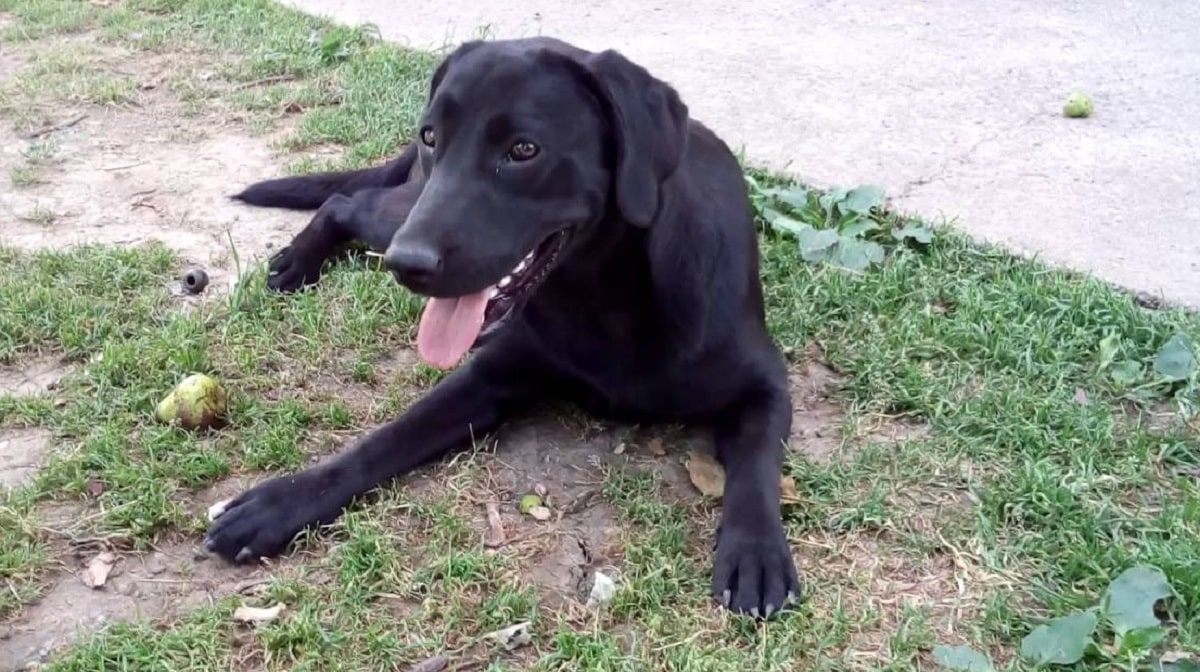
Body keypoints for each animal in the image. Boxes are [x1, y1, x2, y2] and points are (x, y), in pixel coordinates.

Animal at [208, 34, 796, 619]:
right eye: (433, 136)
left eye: (523, 150)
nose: (407, 265)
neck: (604, 297)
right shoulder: (490, 373)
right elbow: (389, 436)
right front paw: (284, 500)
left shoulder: (765, 384)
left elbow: (757, 466)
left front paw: (756, 550)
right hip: (404, 211)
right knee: (345, 201)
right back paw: (298, 261)